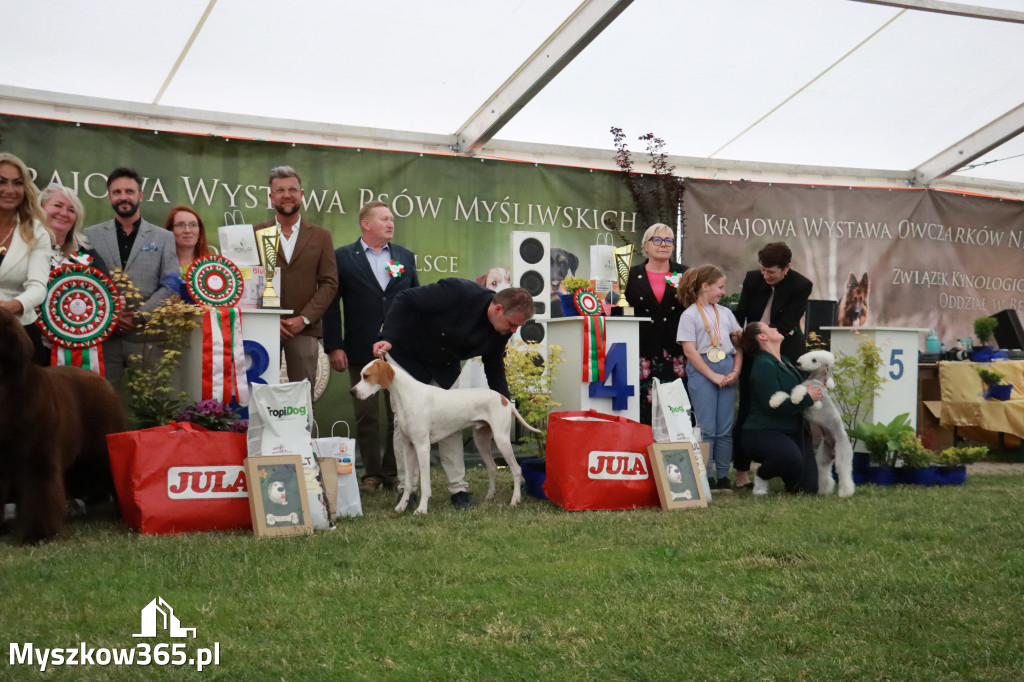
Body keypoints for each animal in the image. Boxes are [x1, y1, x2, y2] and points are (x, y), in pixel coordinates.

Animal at [350, 352, 544, 512]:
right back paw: (490, 496)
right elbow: (408, 483)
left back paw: (515, 500)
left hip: (502, 440)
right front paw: (402, 506)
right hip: (481, 441)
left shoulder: (422, 447)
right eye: (361, 376)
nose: (352, 391)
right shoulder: (408, 447)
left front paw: (421, 509)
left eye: (366, 376)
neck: (407, 395)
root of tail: (503, 398)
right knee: (492, 467)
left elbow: (424, 483)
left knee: (517, 470)